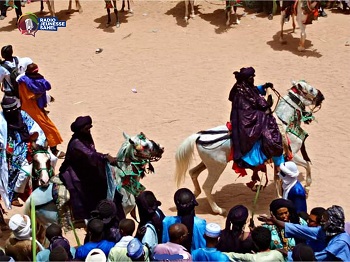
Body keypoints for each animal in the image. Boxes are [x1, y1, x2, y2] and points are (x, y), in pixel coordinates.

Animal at [175, 81, 326, 216]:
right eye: (311, 89)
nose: (322, 96)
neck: (284, 123)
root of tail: (200, 136)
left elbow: (284, 176)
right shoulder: (290, 156)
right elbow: (307, 165)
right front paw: (306, 187)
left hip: (209, 164)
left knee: (193, 173)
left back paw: (194, 195)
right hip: (217, 167)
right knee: (207, 186)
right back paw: (218, 210)